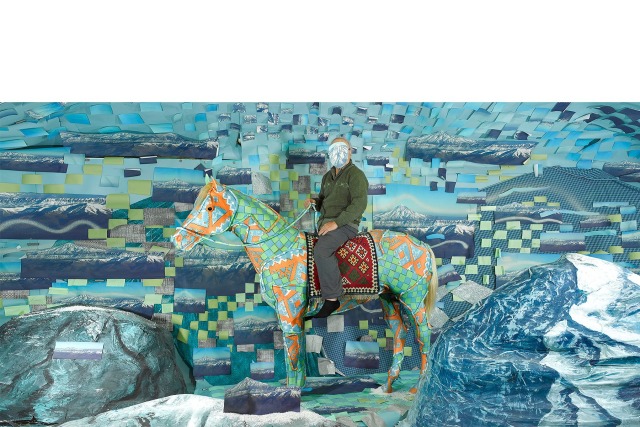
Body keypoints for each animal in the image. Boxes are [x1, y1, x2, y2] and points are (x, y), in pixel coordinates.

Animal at [170, 178, 438, 393]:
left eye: (210, 207)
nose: (177, 239)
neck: (279, 249)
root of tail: (422, 246)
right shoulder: (291, 315)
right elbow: (295, 352)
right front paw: (296, 387)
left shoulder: (290, 312)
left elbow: (292, 352)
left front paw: (292, 391)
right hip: (389, 299)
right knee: (400, 333)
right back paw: (388, 385)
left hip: (413, 299)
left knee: (423, 334)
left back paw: (419, 386)